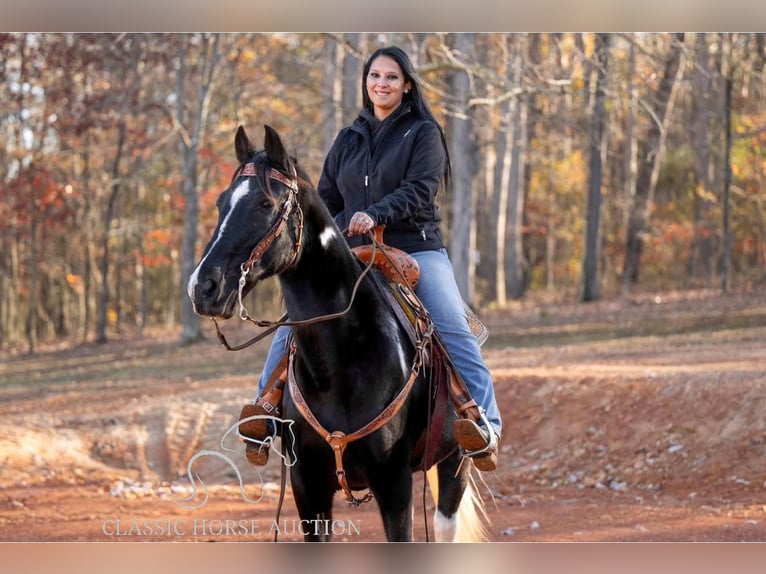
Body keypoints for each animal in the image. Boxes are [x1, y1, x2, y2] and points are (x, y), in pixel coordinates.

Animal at [188, 126, 486, 544]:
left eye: (265, 203)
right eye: (220, 203)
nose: (203, 287)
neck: (342, 361)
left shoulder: (393, 483)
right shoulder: (307, 484)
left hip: (456, 459)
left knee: (447, 523)